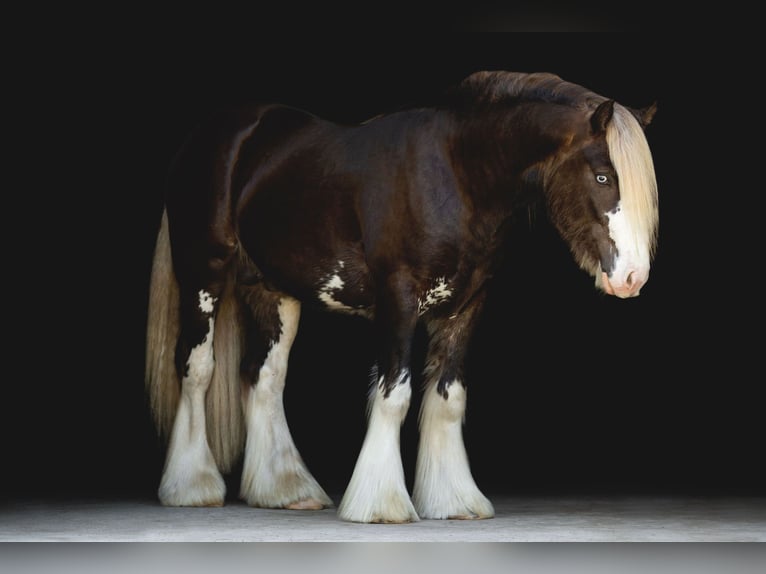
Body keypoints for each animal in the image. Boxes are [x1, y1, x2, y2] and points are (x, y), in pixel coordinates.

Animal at [146, 71, 660, 528]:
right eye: (602, 177)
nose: (633, 277)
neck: (456, 173)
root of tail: (217, 133)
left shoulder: (466, 306)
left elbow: (449, 399)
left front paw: (455, 501)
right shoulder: (398, 299)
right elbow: (394, 395)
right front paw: (380, 505)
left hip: (273, 291)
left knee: (264, 376)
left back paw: (287, 490)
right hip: (204, 274)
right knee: (197, 367)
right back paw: (192, 487)